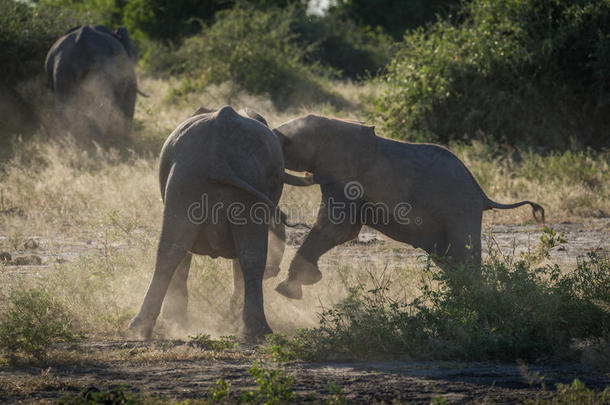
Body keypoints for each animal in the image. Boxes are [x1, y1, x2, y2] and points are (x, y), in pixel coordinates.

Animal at [270, 113, 540, 296]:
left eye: (288, 141)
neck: (336, 125)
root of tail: (482, 194)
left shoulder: (348, 179)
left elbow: (335, 228)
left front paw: (287, 289)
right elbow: (345, 231)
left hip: (461, 211)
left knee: (464, 256)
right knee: (450, 260)